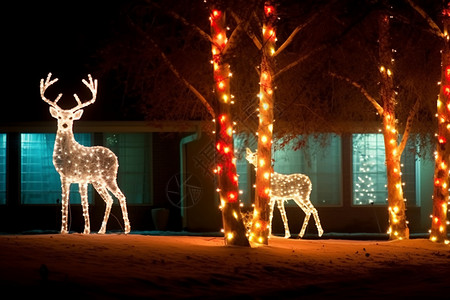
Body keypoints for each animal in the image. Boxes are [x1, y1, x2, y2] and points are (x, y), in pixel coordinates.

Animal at [40, 72, 130, 234]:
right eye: (59, 117)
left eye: (70, 117)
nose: (64, 124)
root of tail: (114, 156)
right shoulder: (65, 178)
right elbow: (65, 202)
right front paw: (64, 230)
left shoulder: (82, 178)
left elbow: (84, 204)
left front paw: (86, 230)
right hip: (97, 180)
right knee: (109, 199)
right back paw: (101, 230)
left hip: (109, 176)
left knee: (121, 196)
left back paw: (127, 229)